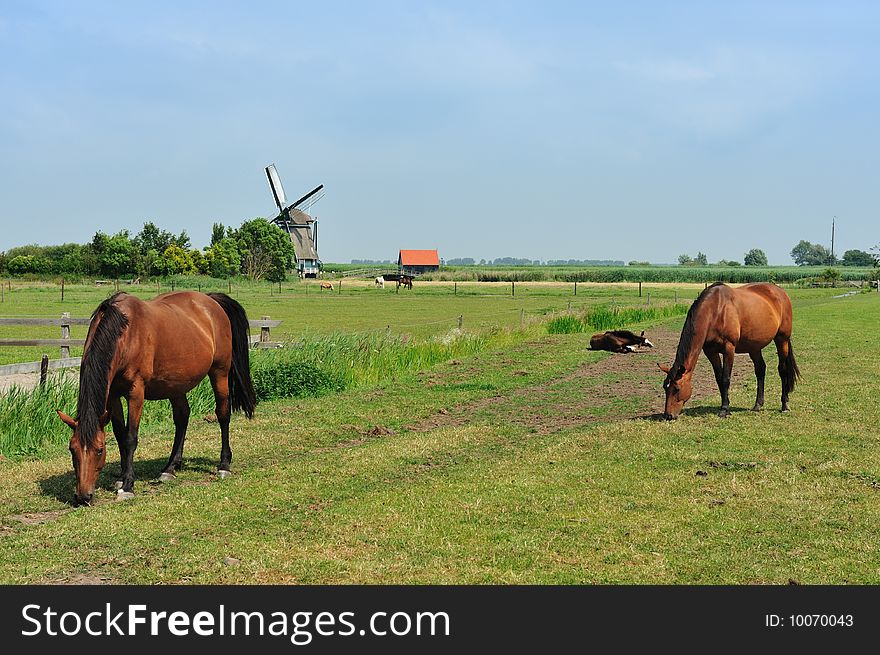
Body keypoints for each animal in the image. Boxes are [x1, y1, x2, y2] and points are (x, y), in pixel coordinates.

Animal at [56, 294, 256, 508]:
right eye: (72, 449)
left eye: (100, 450)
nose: (83, 497)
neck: (125, 335)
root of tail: (211, 301)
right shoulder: (113, 396)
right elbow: (119, 435)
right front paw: (122, 477)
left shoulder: (136, 392)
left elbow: (130, 438)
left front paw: (128, 486)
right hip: (176, 384)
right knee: (182, 417)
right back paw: (170, 468)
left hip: (220, 372)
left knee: (223, 414)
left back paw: (224, 465)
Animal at [660, 282, 796, 420]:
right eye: (665, 387)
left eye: (676, 389)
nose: (668, 415)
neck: (716, 311)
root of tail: (780, 291)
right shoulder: (710, 351)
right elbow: (719, 379)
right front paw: (726, 406)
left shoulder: (729, 348)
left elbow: (726, 379)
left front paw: (724, 410)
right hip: (754, 347)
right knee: (760, 370)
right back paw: (758, 405)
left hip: (782, 340)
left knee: (782, 370)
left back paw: (785, 405)